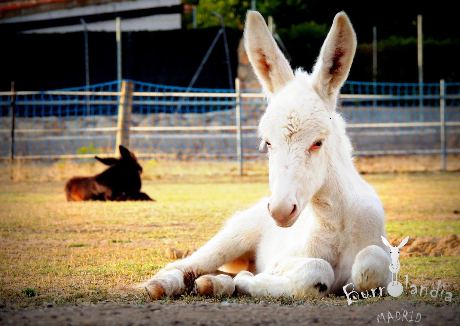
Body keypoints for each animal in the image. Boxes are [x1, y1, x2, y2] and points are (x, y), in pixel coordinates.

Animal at [144, 10, 392, 300]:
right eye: (268, 143)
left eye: (318, 142)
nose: (281, 211)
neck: (337, 224)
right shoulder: (281, 261)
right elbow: (316, 270)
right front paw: (250, 282)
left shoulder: (383, 262)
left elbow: (371, 264)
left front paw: (243, 281)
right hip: (233, 237)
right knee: (186, 265)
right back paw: (163, 285)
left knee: (214, 273)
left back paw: (214, 284)